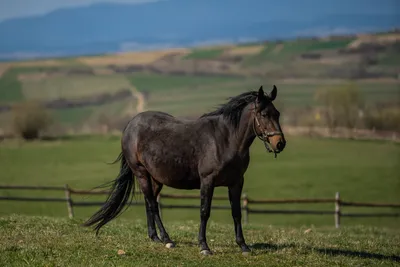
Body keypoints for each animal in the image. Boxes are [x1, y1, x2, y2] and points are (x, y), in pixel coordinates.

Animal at [83, 85, 284, 255]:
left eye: (277, 114)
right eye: (264, 114)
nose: (280, 143)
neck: (226, 139)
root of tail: (130, 125)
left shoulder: (236, 182)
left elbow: (236, 213)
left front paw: (243, 246)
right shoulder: (207, 181)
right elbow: (204, 211)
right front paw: (204, 247)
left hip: (155, 178)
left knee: (149, 203)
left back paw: (154, 237)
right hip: (141, 173)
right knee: (153, 204)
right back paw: (167, 239)